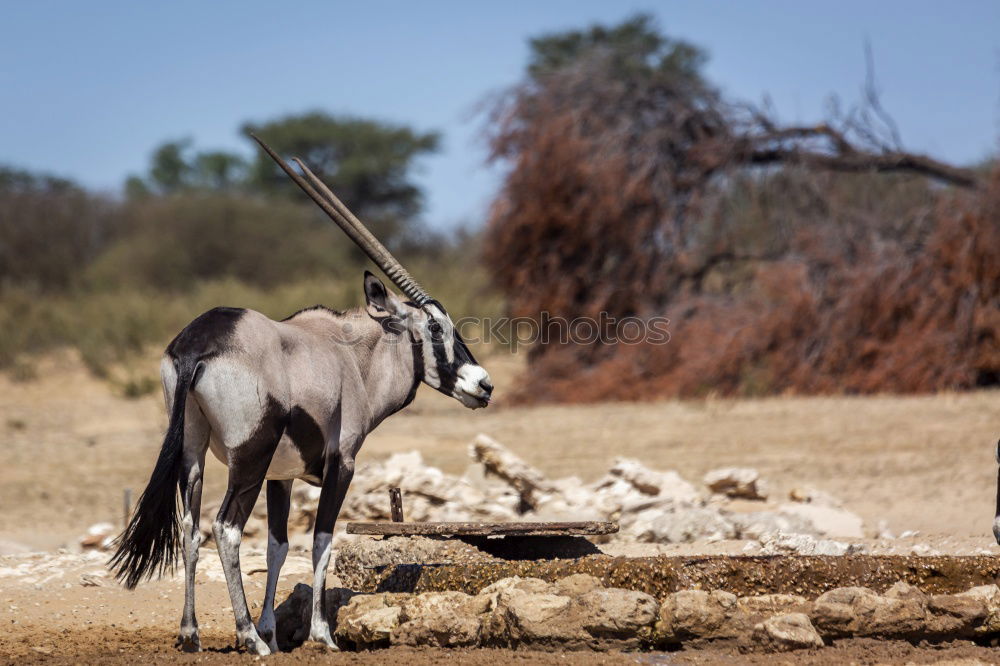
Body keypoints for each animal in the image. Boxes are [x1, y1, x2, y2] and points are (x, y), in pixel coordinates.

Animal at [109, 136, 492, 652]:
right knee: (226, 528)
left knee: (191, 527)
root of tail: (197, 344)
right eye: (435, 327)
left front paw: (275, 629)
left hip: (193, 451)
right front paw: (320, 635)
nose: (483, 384)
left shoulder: (281, 476)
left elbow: (278, 546)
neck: (354, 356)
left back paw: (192, 634)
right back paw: (247, 637)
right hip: (248, 457)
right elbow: (321, 542)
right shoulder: (341, 462)